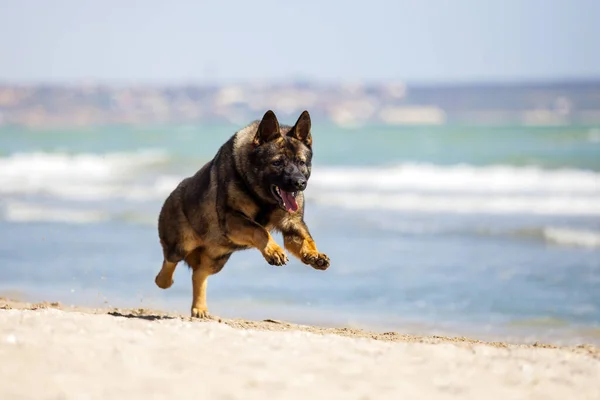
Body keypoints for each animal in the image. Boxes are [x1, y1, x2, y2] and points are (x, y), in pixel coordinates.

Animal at [155, 109, 330, 318]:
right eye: (277, 163)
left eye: (301, 162)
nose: (300, 183)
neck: (262, 197)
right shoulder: (233, 219)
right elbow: (261, 230)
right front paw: (273, 250)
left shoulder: (292, 225)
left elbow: (305, 238)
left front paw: (313, 254)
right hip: (182, 245)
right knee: (169, 263)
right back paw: (164, 281)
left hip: (217, 259)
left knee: (199, 274)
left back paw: (199, 307)